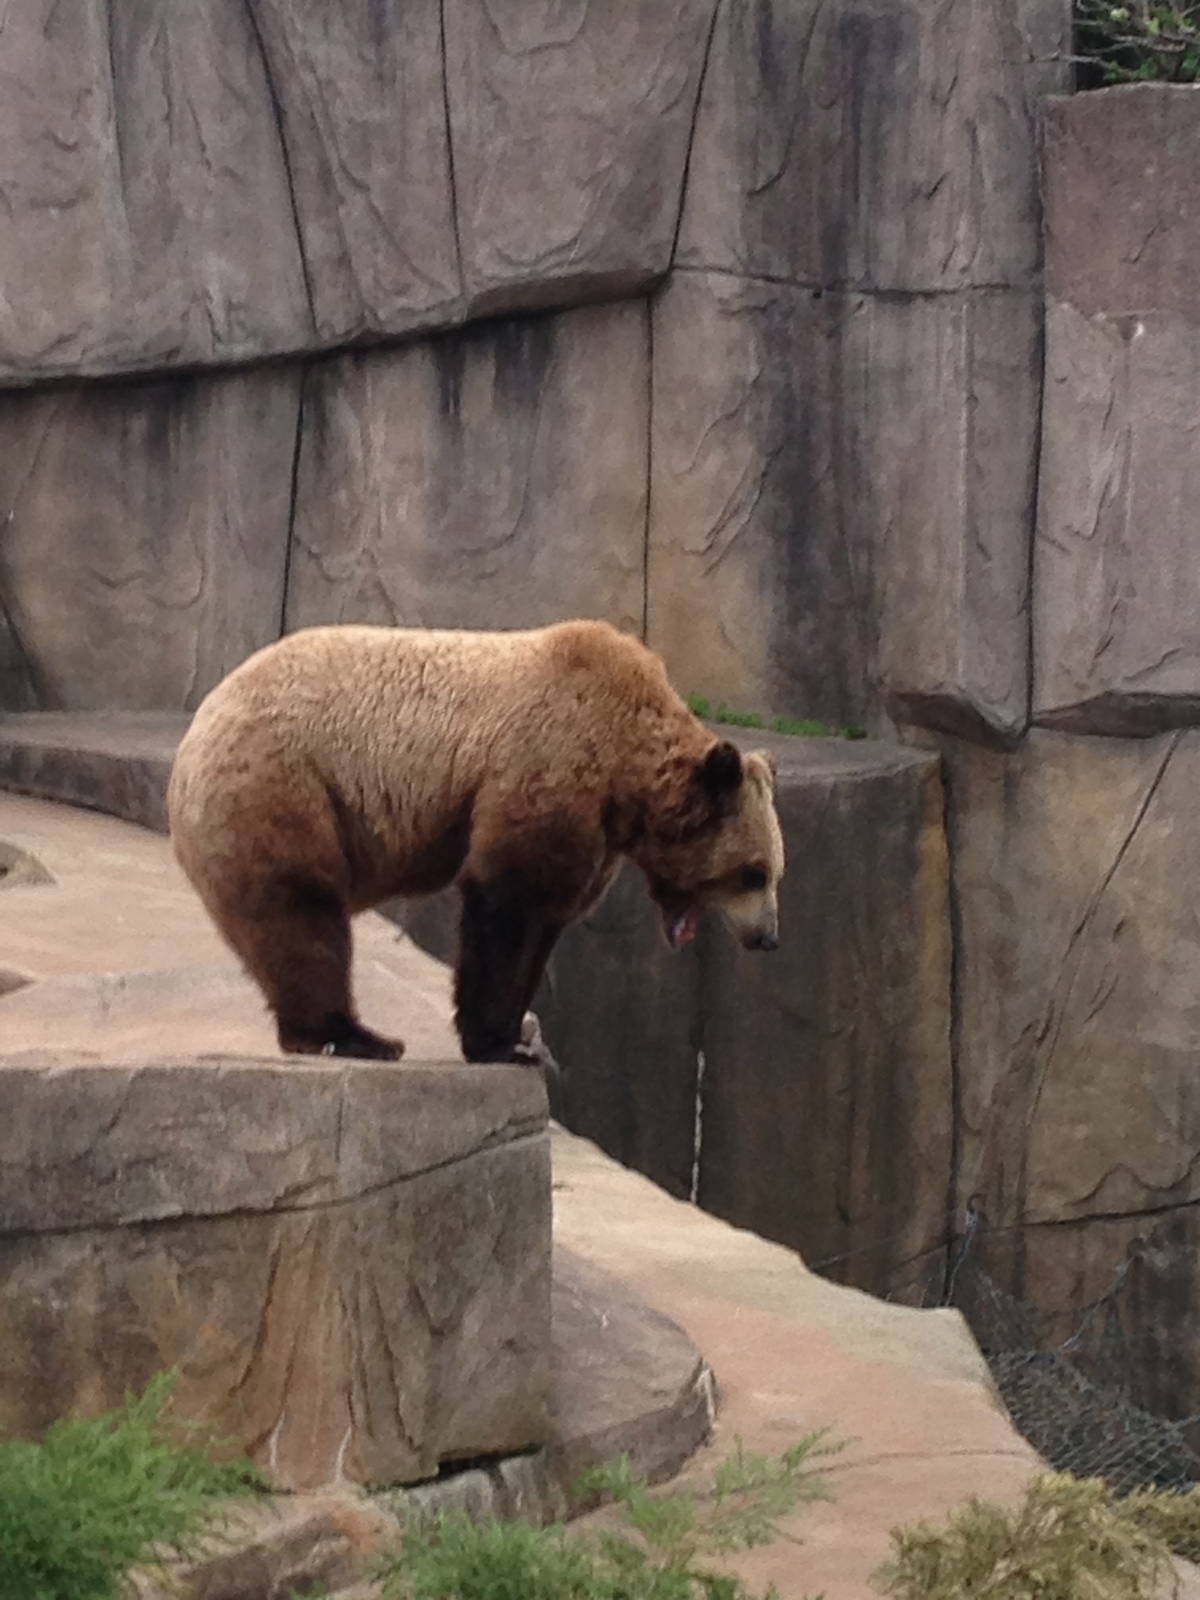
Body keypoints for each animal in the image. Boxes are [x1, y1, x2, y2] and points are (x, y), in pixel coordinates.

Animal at [167, 620, 785, 1064]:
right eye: (753, 873)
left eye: (775, 872)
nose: (768, 938)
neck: (626, 761)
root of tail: (193, 737)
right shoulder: (547, 762)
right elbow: (507, 900)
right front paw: (497, 1043)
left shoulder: (597, 827)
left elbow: (547, 917)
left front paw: (521, 1037)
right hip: (283, 784)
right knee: (300, 914)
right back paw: (354, 1036)